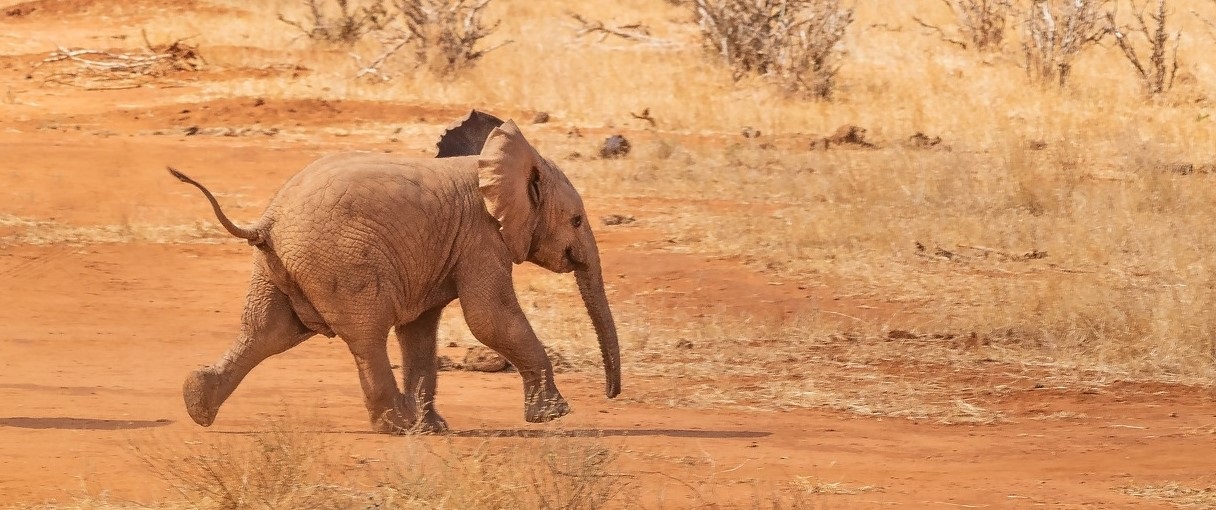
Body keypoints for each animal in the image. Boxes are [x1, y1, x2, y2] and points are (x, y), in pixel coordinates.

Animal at [173, 111, 617, 435]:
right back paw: (395, 427)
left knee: (266, 332)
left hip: (278, 266)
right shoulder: (482, 237)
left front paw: (434, 430)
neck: (494, 162)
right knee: (365, 335)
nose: (611, 396)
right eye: (577, 220)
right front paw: (556, 416)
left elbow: (420, 331)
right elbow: (489, 318)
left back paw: (197, 405)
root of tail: (268, 220)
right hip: (342, 262)